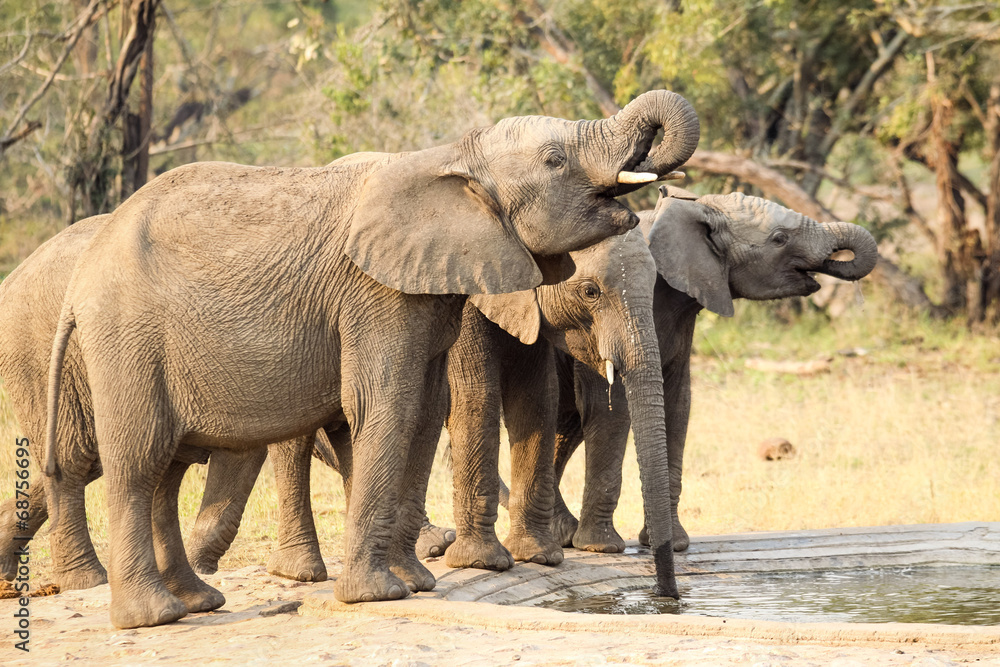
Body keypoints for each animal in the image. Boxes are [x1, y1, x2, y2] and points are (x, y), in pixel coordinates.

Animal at [41, 90, 700, 628]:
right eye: (555, 160)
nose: (666, 596)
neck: (453, 156)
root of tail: (78, 280)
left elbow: (427, 413)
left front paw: (416, 583)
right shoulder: (375, 294)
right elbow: (390, 405)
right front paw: (377, 595)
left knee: (169, 468)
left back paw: (198, 603)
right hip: (127, 337)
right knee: (141, 459)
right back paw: (152, 618)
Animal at [548, 185, 879, 554]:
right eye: (779, 238)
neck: (696, 209)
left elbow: (677, 404)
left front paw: (674, 544)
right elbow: (611, 407)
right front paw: (602, 547)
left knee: (566, 424)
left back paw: (561, 534)